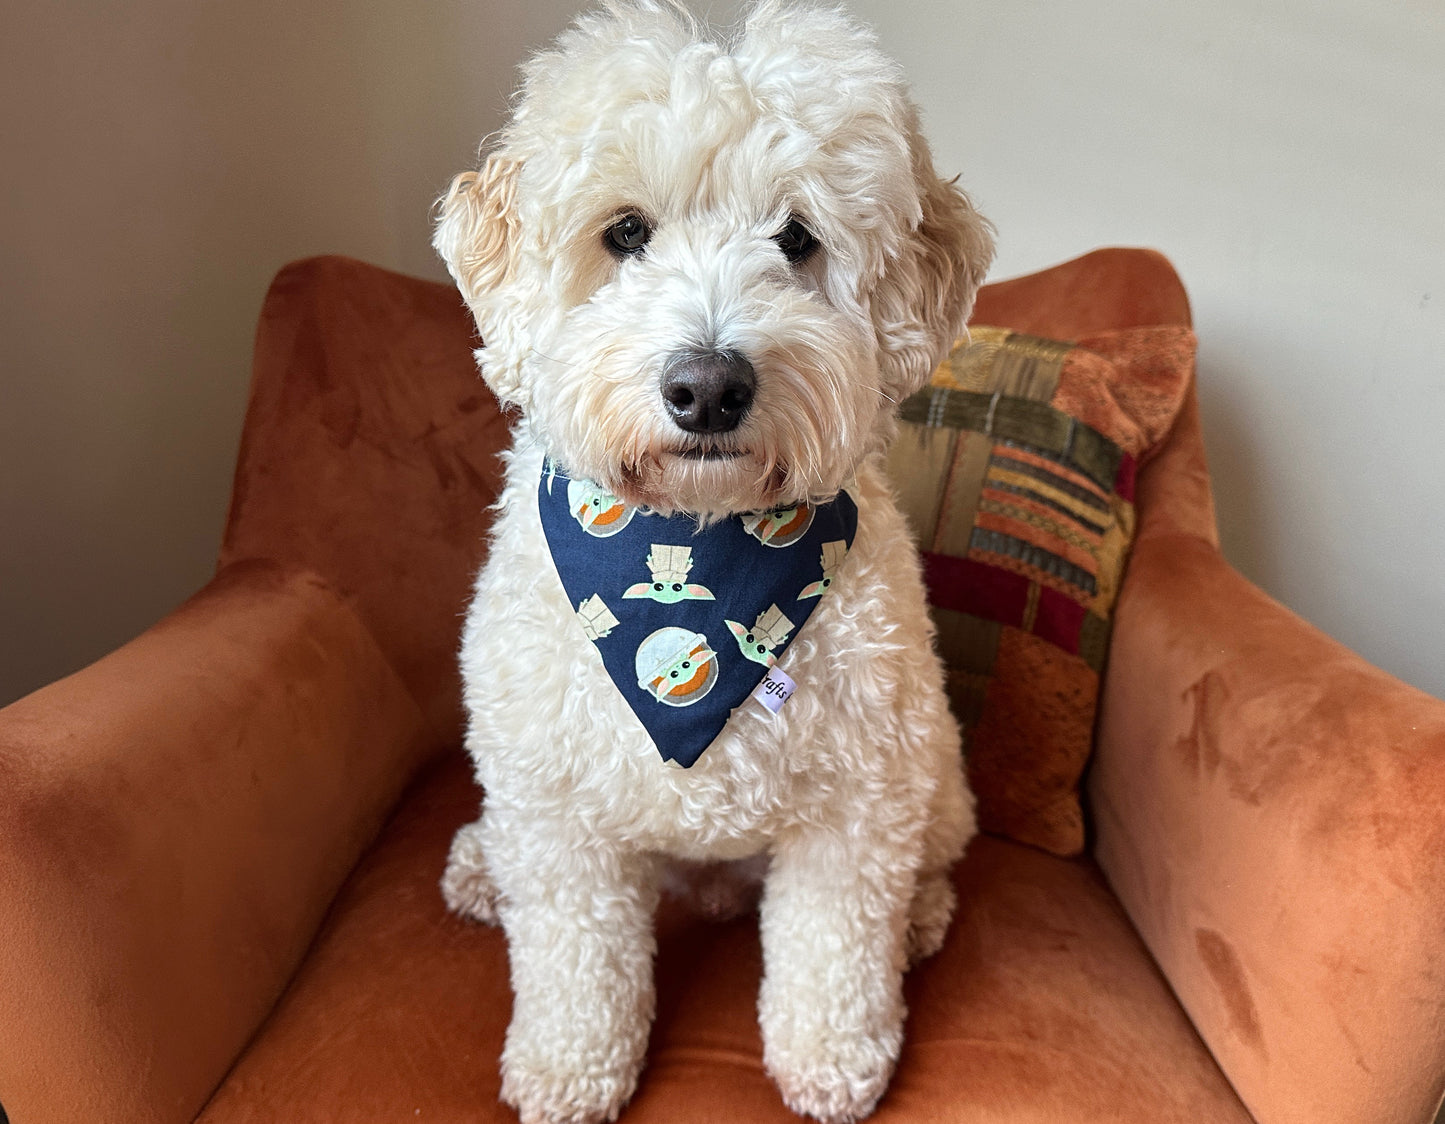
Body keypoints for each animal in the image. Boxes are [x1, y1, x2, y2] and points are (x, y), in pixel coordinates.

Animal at [433, 4, 988, 1115]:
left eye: (797, 239)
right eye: (625, 232)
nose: (707, 386)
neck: (700, 537)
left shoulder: (857, 802)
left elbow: (833, 947)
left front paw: (832, 1060)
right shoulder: (558, 812)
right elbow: (572, 958)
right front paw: (568, 1066)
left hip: (933, 767)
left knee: (932, 850)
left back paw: (917, 915)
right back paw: (480, 867)